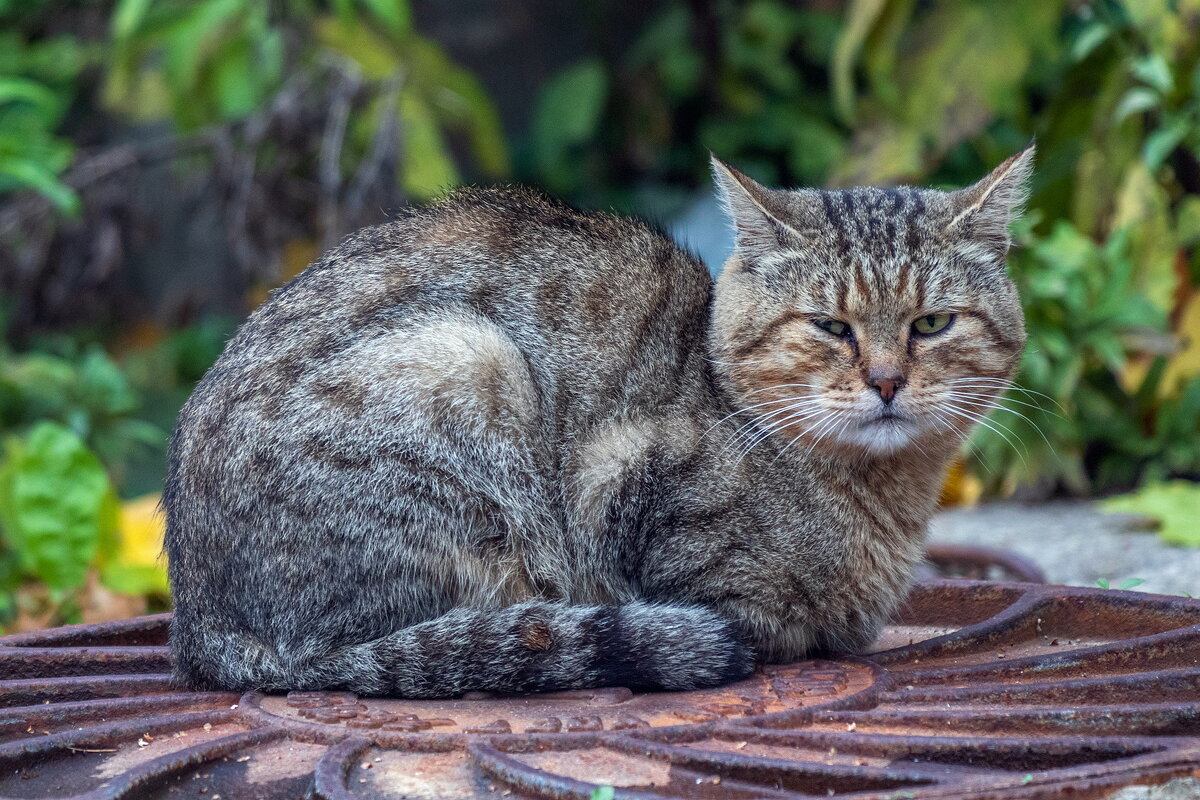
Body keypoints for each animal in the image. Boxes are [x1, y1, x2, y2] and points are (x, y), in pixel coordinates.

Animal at [164, 143, 1036, 695]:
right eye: (831, 327)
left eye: (931, 325)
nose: (887, 381)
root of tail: (200, 624)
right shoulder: (624, 491)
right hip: (466, 362)